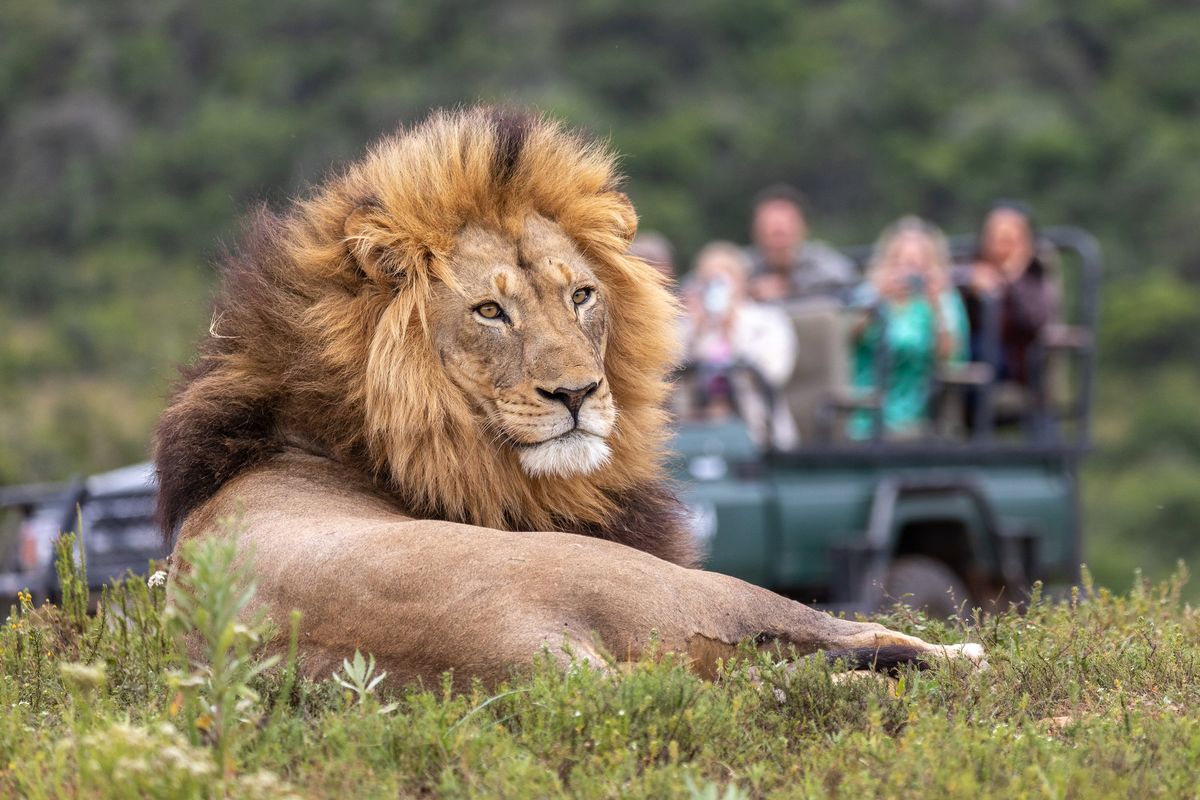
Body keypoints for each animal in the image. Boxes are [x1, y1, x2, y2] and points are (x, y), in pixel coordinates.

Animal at [155, 107, 983, 685]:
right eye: (491, 311)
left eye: (581, 295)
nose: (579, 392)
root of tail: (530, 658)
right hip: (686, 590)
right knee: (850, 644)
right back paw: (964, 654)